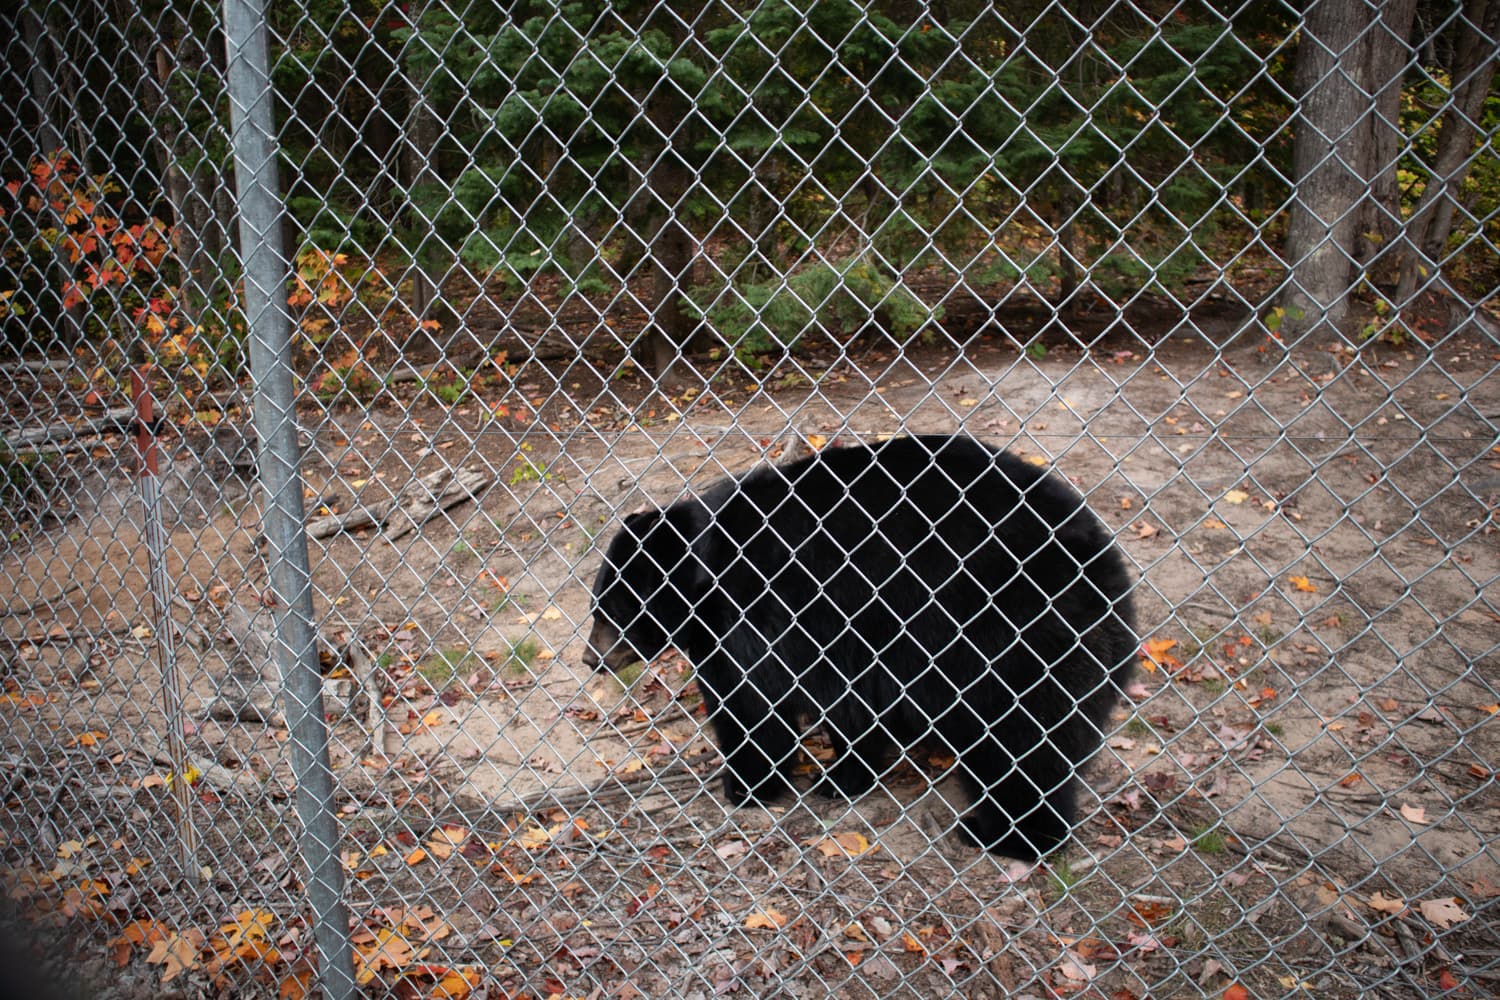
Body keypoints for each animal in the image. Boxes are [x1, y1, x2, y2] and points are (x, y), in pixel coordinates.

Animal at [583, 434, 1136, 860]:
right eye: (597, 606)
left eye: (613, 609)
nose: (592, 658)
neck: (708, 568)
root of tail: (1109, 574)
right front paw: (839, 774)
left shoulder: (774, 610)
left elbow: (756, 703)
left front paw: (752, 782)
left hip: (1014, 634)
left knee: (1023, 740)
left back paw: (1006, 833)